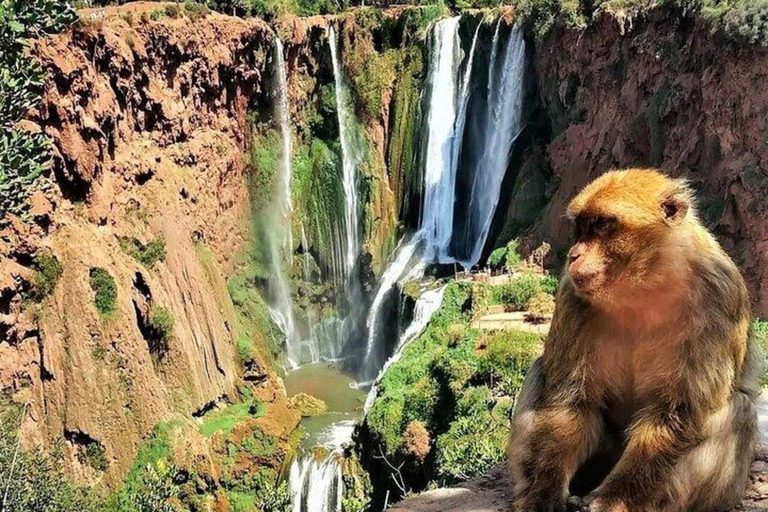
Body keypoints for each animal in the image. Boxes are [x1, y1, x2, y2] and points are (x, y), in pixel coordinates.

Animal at [508, 169, 760, 512]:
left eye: (602, 224)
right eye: (581, 227)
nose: (573, 255)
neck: (645, 285)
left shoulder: (718, 295)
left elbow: (675, 411)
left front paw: (615, 499)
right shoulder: (572, 294)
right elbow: (572, 401)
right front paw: (544, 493)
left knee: (739, 409)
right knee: (540, 370)